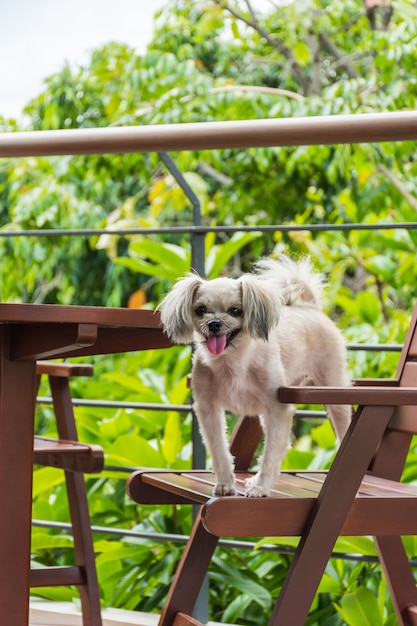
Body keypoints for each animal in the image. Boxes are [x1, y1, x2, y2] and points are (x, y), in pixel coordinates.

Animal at [158, 256, 350, 494]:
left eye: (235, 311)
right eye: (200, 310)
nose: (214, 323)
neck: (233, 361)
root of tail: (311, 308)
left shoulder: (278, 409)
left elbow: (269, 454)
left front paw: (260, 488)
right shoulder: (209, 411)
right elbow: (220, 451)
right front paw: (225, 483)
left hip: (334, 394)